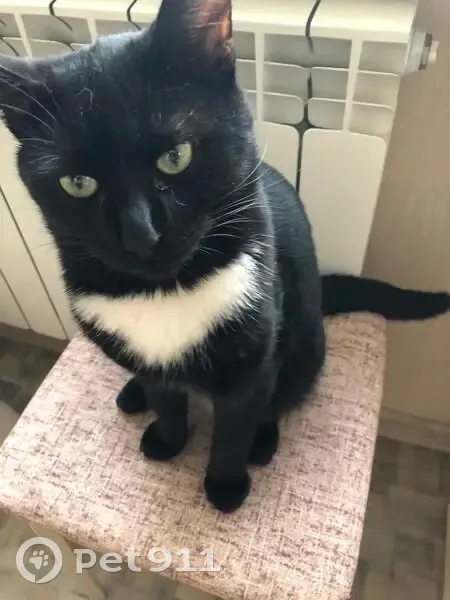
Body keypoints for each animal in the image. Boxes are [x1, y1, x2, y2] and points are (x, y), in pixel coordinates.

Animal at [1, 0, 449, 513]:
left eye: (176, 156)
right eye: (77, 184)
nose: (141, 235)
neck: (165, 292)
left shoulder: (254, 355)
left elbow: (236, 424)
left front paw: (226, 483)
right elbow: (166, 399)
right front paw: (168, 440)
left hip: (304, 339)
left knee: (283, 394)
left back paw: (263, 442)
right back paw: (134, 394)